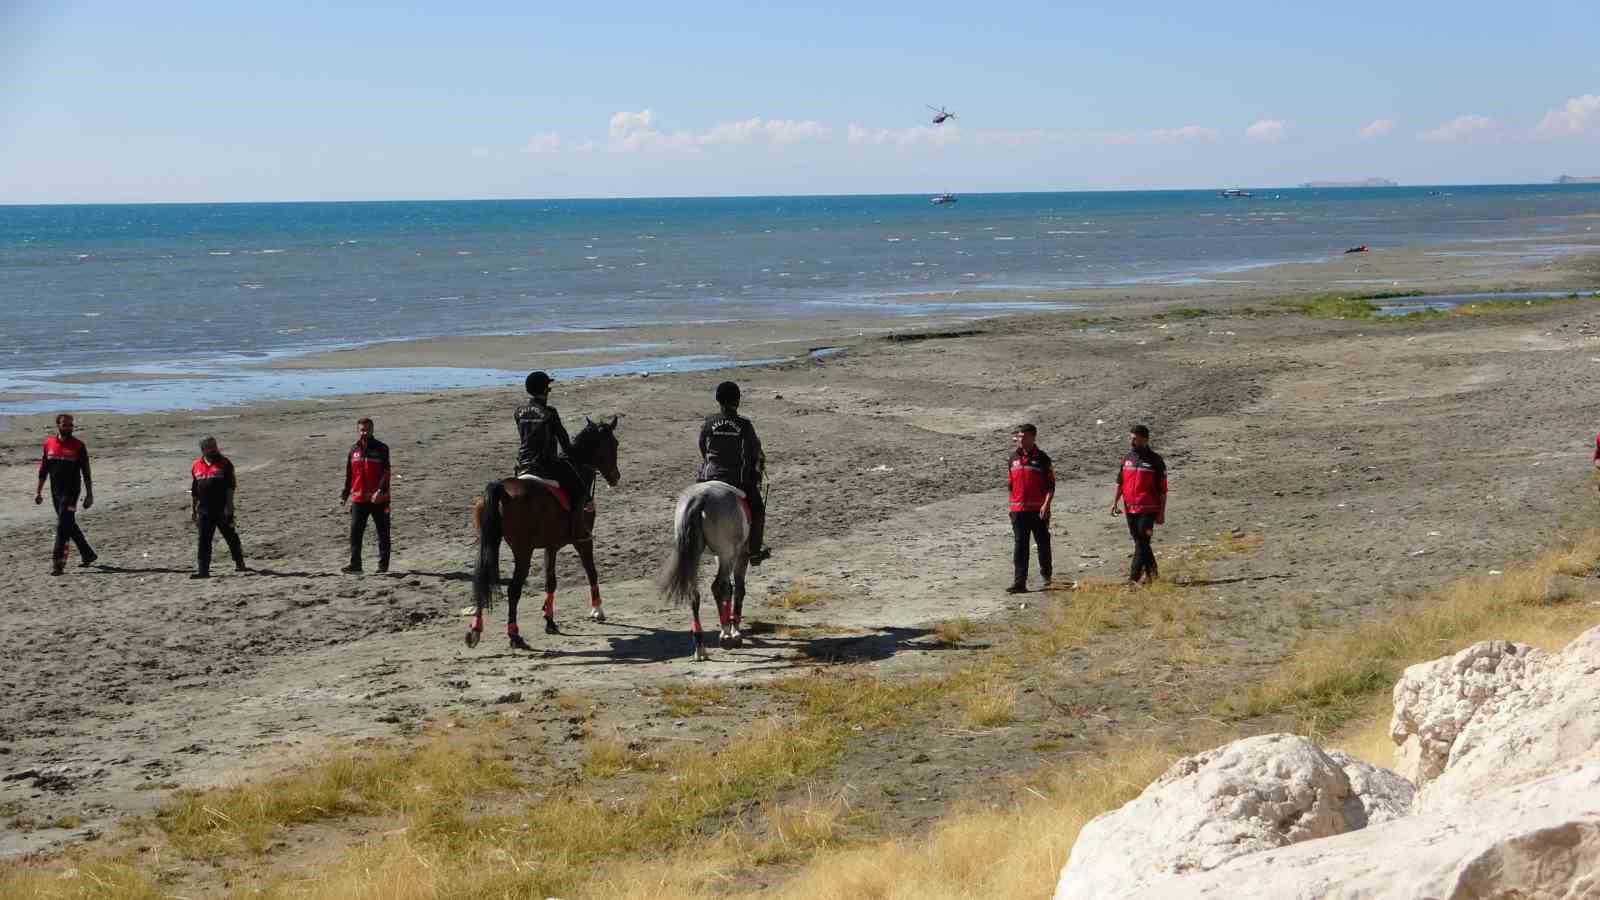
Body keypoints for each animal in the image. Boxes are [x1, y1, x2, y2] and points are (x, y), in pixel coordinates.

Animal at [467, 416, 617, 646]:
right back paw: (514, 634)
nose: (616, 476)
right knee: (514, 589)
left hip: (488, 543)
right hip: (523, 551)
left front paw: (550, 620)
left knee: (481, 581)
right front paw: (597, 610)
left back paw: (476, 629)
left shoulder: (551, 546)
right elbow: (591, 571)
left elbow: (550, 582)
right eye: (614, 444)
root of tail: (501, 488)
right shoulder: (583, 540)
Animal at [665, 477, 758, 659]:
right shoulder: (739, 555)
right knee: (717, 586)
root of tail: (699, 499)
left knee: (695, 594)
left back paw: (700, 646)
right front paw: (734, 631)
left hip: (696, 554)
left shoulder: (720, 556)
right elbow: (738, 589)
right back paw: (726, 635)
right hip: (727, 552)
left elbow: (729, 588)